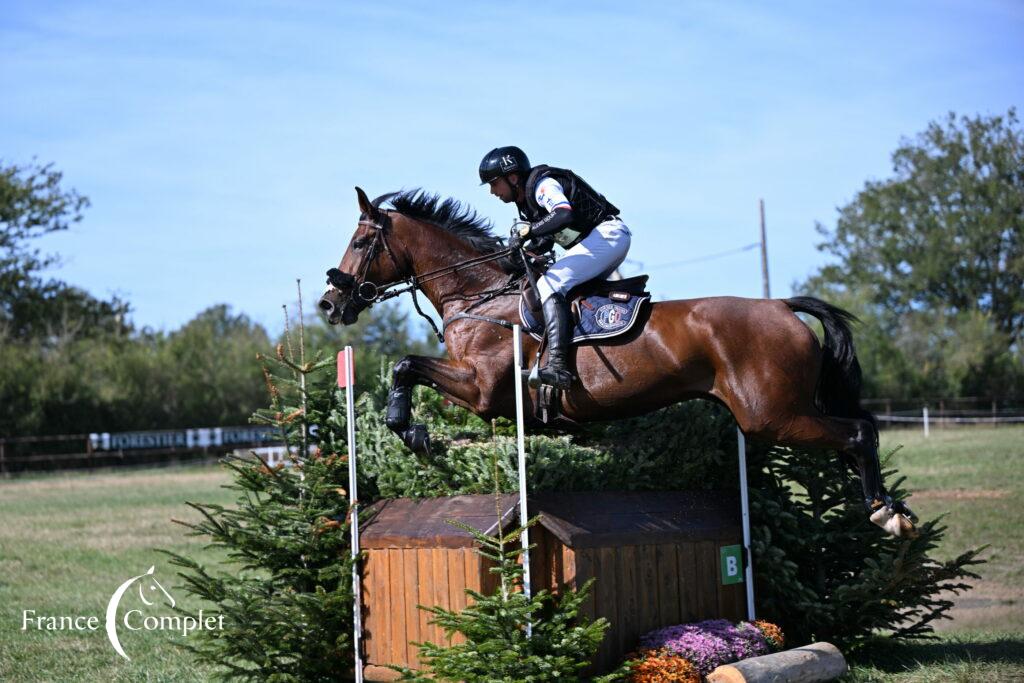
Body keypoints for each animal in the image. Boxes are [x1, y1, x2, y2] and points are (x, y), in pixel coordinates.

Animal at [315, 188, 917, 540]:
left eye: (361, 242)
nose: (330, 304)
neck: (481, 293)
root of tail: (782, 307)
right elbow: (408, 368)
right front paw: (416, 432)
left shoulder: (483, 389)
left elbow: (405, 365)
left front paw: (413, 433)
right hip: (779, 413)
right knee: (858, 433)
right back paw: (893, 510)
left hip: (771, 415)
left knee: (858, 434)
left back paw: (884, 512)